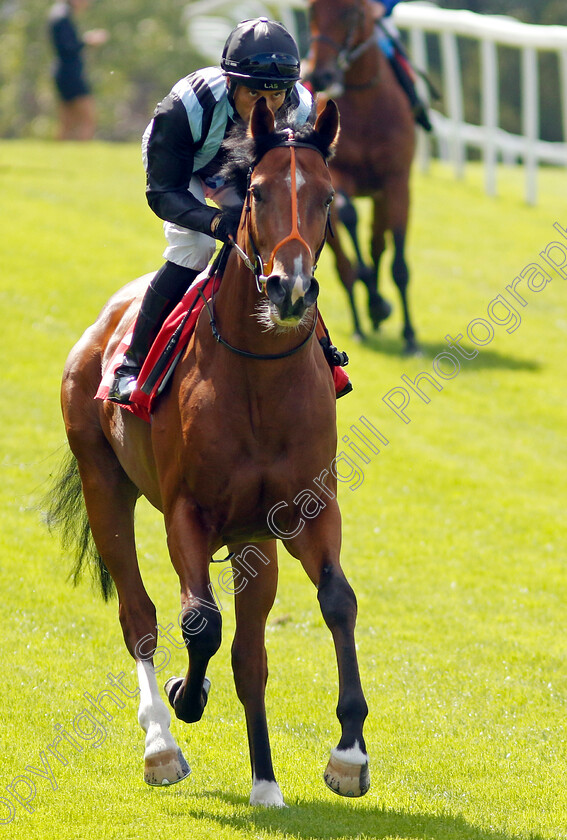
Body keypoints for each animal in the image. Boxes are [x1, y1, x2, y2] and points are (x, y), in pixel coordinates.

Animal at [47, 98, 368, 808]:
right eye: (256, 192)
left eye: (328, 196)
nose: (288, 289)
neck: (258, 381)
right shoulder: (186, 513)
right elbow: (199, 624)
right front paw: (184, 697)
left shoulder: (302, 512)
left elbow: (336, 601)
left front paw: (349, 755)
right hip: (103, 483)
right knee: (140, 616)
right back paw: (161, 744)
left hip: (255, 543)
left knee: (251, 658)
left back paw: (265, 783)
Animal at [304, 0, 420, 352]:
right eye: (311, 10)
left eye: (349, 12)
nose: (320, 74)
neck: (367, 103)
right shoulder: (338, 174)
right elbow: (348, 215)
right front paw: (374, 299)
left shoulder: (396, 182)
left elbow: (397, 261)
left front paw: (410, 335)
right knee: (344, 263)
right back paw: (361, 318)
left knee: (377, 242)